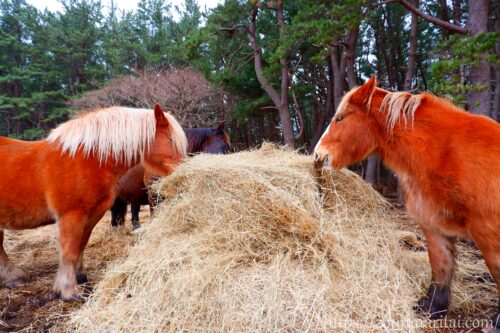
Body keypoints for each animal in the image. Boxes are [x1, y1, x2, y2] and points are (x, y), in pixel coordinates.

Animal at [0, 105, 188, 300]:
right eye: (170, 139)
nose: (183, 170)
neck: (85, 160)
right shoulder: (71, 216)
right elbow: (69, 252)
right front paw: (68, 291)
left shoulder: (92, 215)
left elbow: (81, 245)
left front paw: (80, 276)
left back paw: (12, 277)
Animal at [314, 76, 498, 324]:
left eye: (340, 118)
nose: (318, 155)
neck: (444, 152)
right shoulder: (434, 227)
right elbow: (440, 267)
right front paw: (432, 308)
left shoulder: (488, 234)